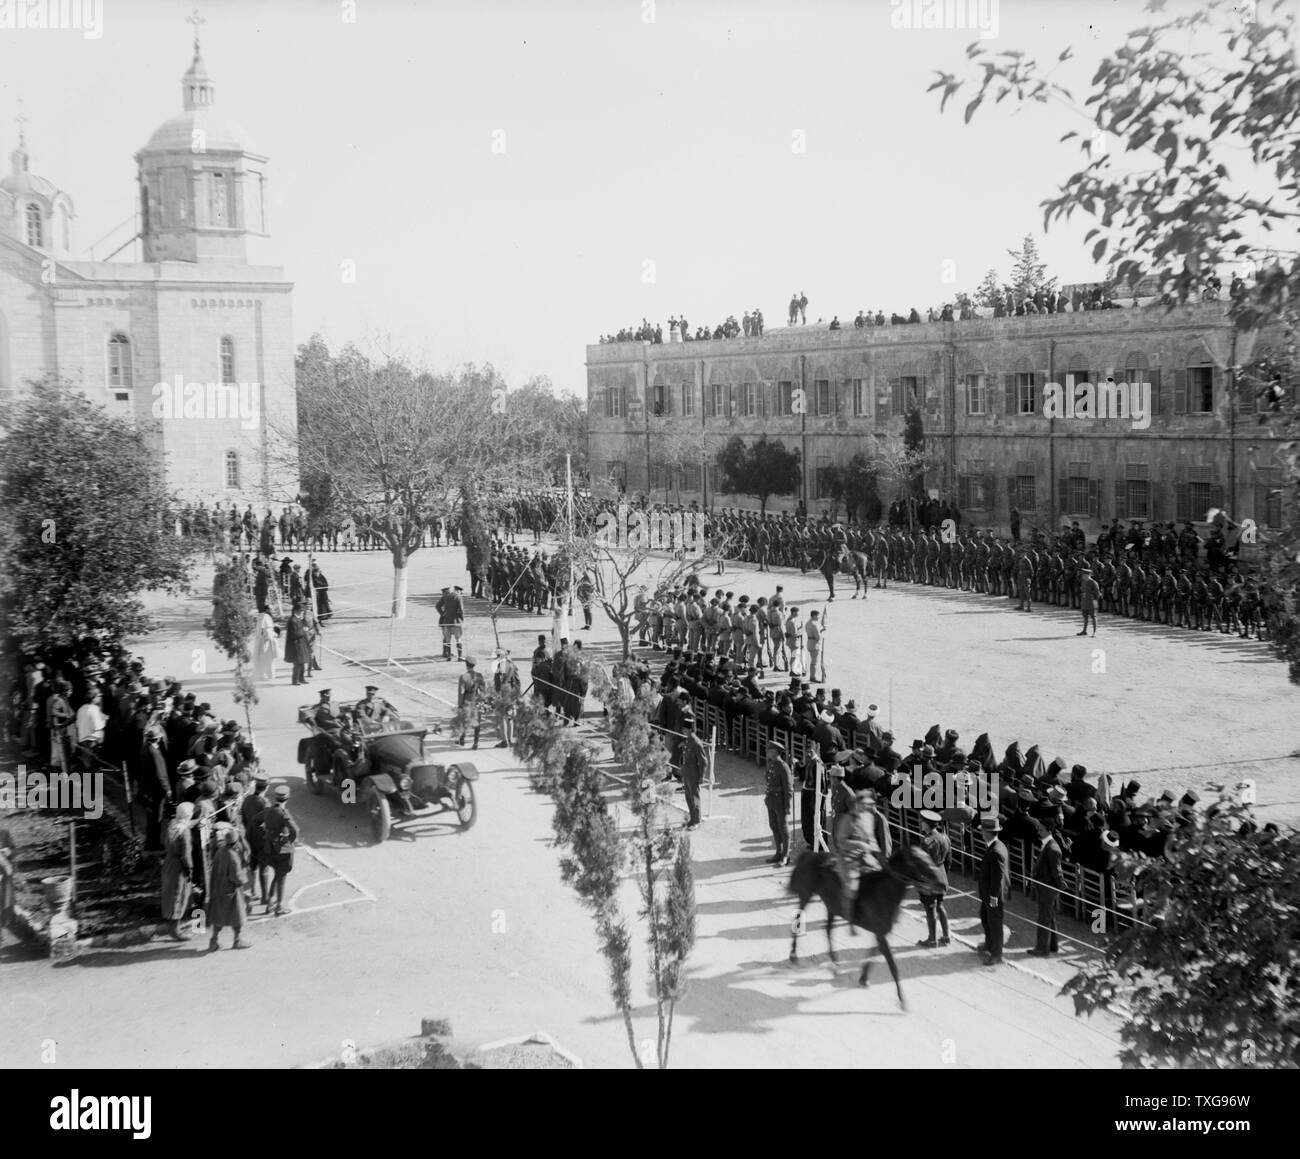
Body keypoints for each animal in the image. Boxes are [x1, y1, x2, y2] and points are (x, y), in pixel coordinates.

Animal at [785, 841, 941, 1003]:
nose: (940, 883)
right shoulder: (880, 933)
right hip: (806, 894)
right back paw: (794, 955)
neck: (885, 890)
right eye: (920, 862)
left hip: (831, 907)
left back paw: (835, 965)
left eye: (928, 856)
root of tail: (811, 854)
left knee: (827, 930)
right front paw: (902, 999)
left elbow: (873, 954)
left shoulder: (882, 932)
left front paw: (863, 978)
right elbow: (891, 964)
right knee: (798, 921)